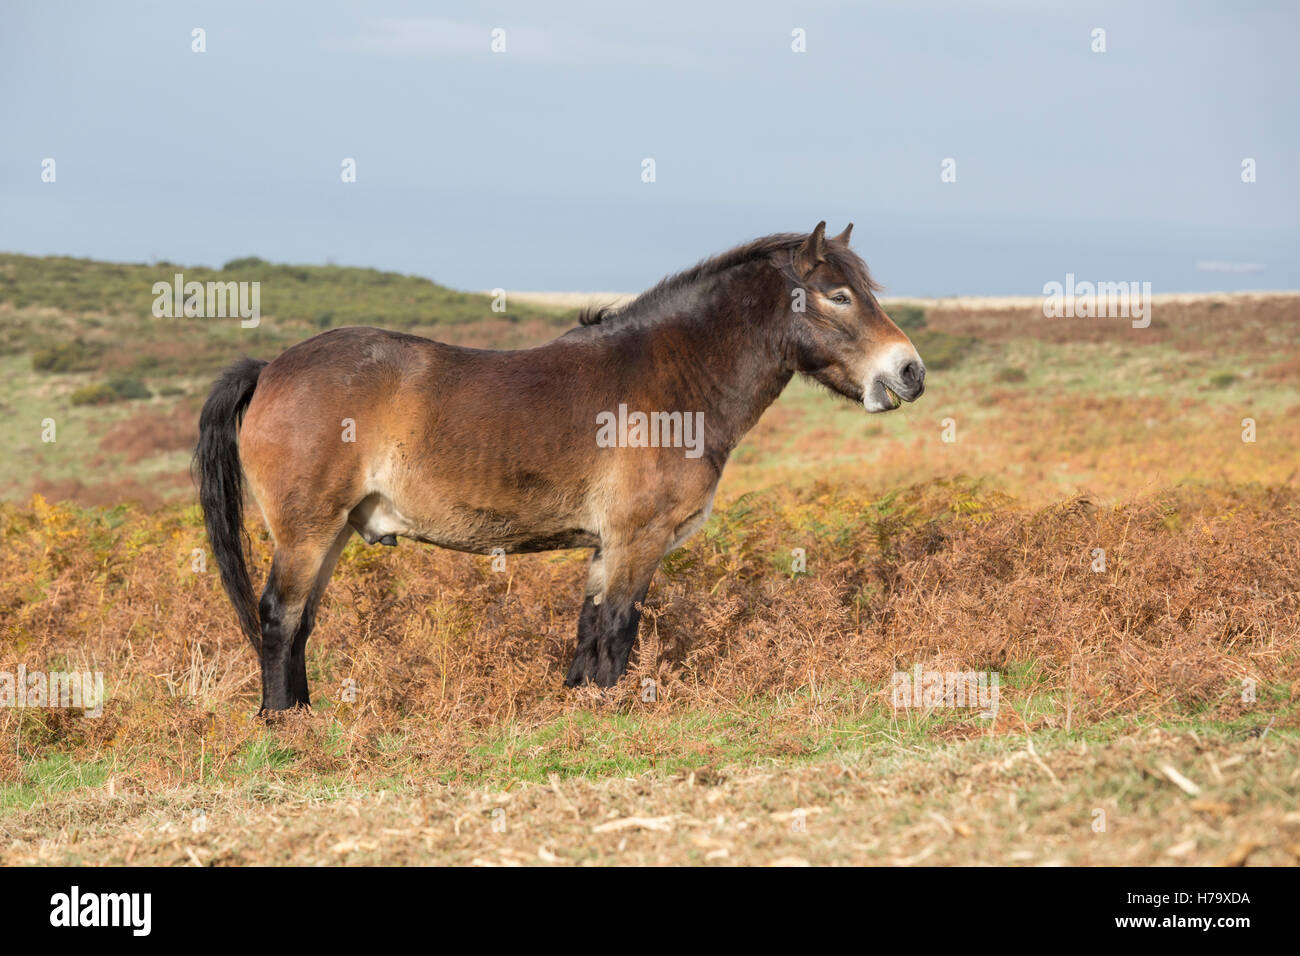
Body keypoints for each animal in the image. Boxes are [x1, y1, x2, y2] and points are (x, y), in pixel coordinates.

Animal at [194, 222, 926, 713]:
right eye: (838, 296)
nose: (910, 371)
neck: (672, 379)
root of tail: (272, 368)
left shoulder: (607, 546)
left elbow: (591, 630)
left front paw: (576, 705)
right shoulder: (636, 540)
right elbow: (618, 630)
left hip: (335, 531)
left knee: (300, 622)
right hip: (307, 532)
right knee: (278, 616)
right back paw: (284, 721)